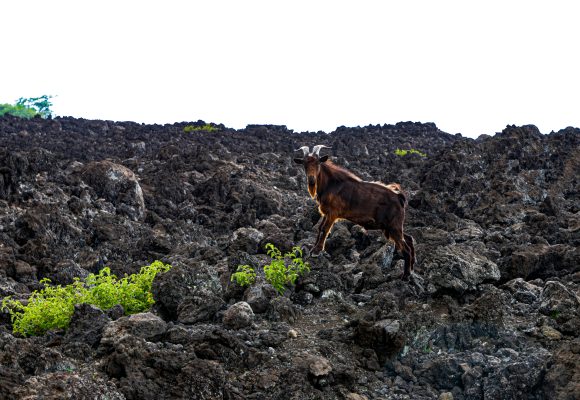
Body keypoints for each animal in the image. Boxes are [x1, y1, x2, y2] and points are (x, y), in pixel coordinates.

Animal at [296, 145, 414, 280]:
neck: (331, 184)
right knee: (409, 239)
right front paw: (313, 249)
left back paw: (405, 276)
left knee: (406, 248)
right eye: (304, 164)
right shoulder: (326, 214)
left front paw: (317, 251)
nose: (311, 180)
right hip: (391, 227)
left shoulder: (332, 213)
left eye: (318, 163)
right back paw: (411, 269)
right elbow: (320, 228)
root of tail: (399, 197)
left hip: (394, 226)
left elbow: (325, 229)